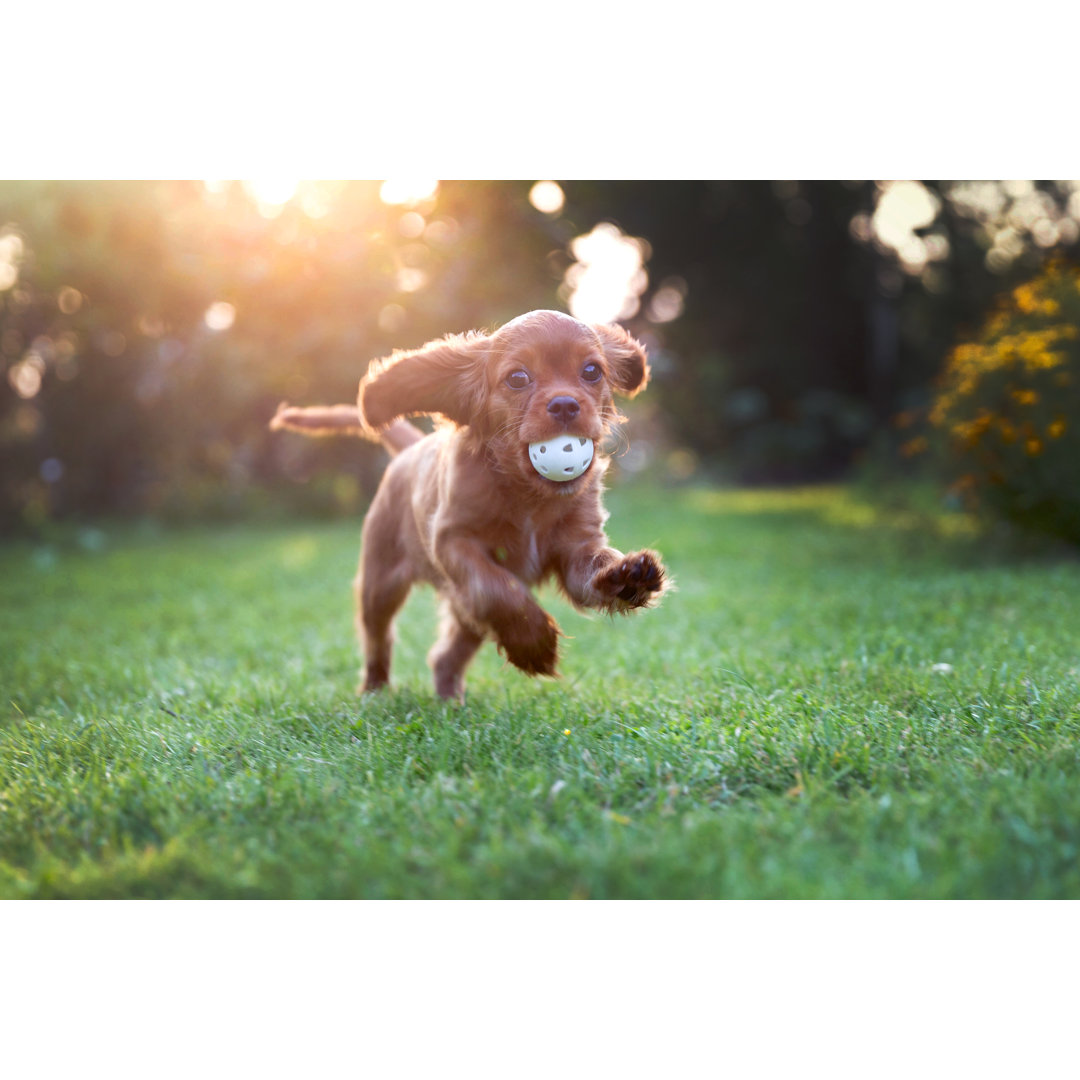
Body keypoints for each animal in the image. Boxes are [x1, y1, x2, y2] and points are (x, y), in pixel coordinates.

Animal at [272, 311, 665, 699]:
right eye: (518, 378)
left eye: (591, 371)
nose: (566, 404)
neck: (527, 495)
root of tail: (411, 449)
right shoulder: (453, 541)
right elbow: (497, 588)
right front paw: (533, 644)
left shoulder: (576, 547)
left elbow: (590, 571)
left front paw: (627, 576)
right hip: (380, 583)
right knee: (378, 638)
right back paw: (375, 690)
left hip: (461, 613)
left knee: (445, 655)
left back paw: (450, 701)